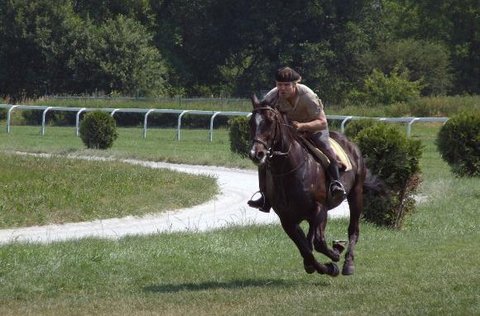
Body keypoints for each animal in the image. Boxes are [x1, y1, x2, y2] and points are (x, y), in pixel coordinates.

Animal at [248, 94, 372, 276]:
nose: (256, 154)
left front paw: (335, 255)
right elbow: (306, 249)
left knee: (353, 229)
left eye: (270, 121)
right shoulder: (287, 219)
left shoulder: (320, 209)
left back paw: (348, 263)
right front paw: (325, 267)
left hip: (356, 193)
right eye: (251, 122)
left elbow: (319, 243)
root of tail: (350, 143)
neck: (289, 170)